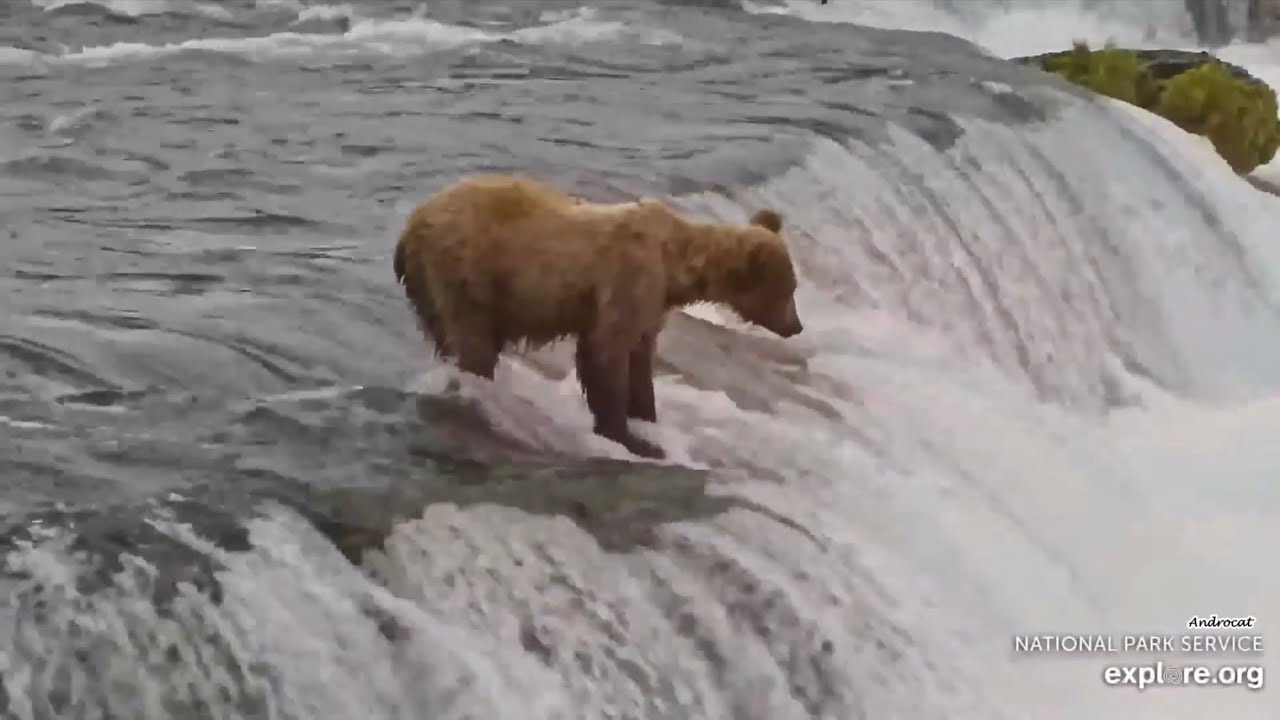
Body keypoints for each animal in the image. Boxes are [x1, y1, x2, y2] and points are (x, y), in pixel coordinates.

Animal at [393, 173, 803, 460]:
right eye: (789, 289)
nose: (796, 326)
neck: (674, 266)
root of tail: (411, 225)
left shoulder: (651, 307)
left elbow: (640, 359)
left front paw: (647, 417)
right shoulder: (627, 282)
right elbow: (605, 352)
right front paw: (632, 438)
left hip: (431, 289)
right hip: (467, 273)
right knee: (474, 343)